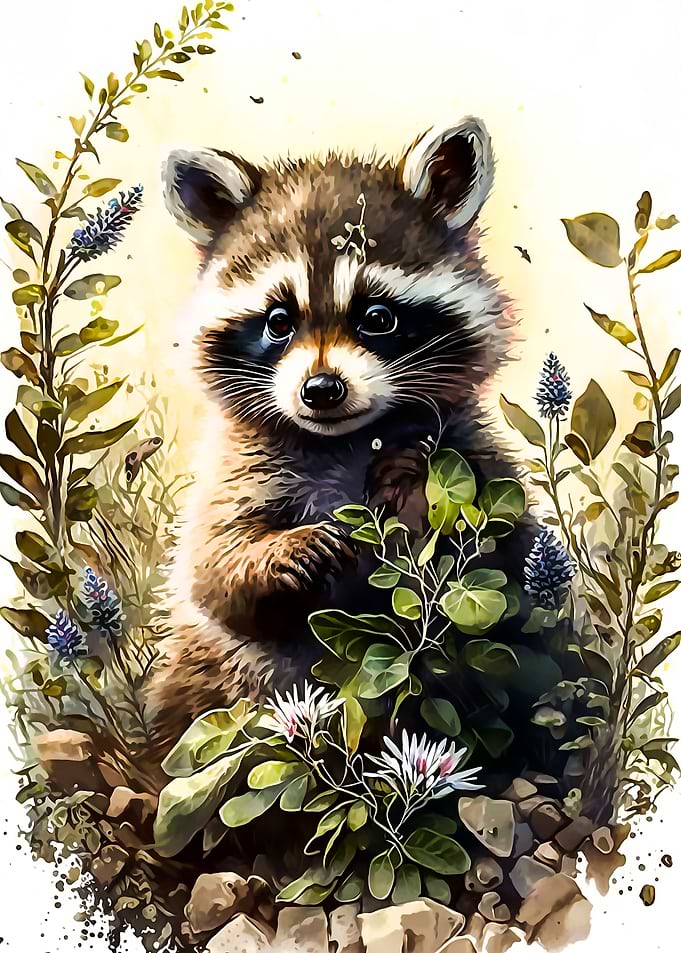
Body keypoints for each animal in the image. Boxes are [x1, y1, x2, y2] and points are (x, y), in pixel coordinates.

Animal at [144, 117, 530, 768]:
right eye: (278, 322)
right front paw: (280, 550)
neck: (348, 440)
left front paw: (411, 492)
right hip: (201, 676)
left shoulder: (469, 447)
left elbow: (502, 553)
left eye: (377, 316)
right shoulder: (237, 466)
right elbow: (213, 569)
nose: (321, 390)